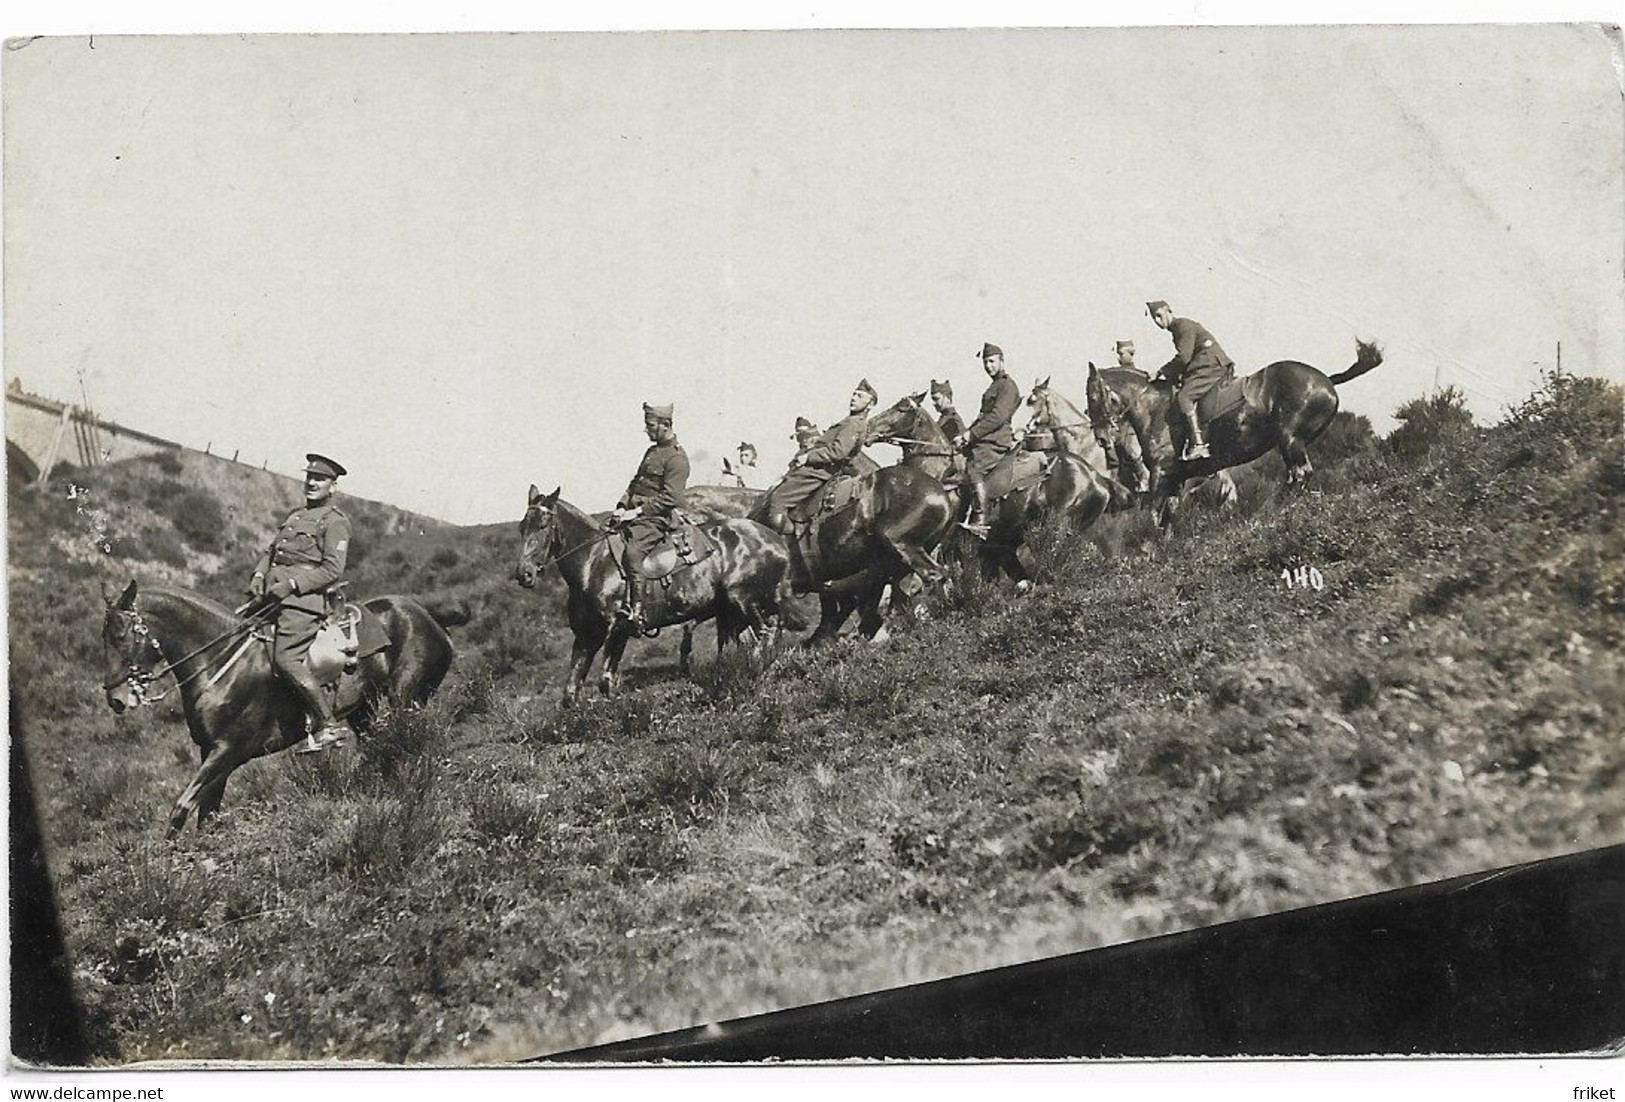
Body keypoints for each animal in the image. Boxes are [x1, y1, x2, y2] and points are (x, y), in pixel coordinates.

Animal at [98, 578, 455, 838]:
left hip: (406, 699)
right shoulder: (210, 753)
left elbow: (181, 808)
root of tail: (430, 618)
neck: (222, 663)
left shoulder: (228, 751)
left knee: (408, 744)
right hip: (363, 712)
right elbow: (207, 814)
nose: (115, 699)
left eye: (121, 635)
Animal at [507, 484, 786, 708]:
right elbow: (571, 693)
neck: (593, 563)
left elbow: (605, 683)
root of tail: (776, 541)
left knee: (764, 636)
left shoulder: (617, 630)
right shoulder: (587, 637)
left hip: (743, 601)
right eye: (522, 527)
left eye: (543, 525)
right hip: (733, 611)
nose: (524, 574)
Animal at [871, 394, 1124, 594]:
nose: (871, 428)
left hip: (1056, 528)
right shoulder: (993, 551)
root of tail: (1096, 477)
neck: (939, 473)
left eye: (901, 409)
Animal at [1092, 342, 1384, 529]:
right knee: (1294, 477)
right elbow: (1167, 519)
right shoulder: (1176, 480)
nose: (1101, 438)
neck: (1154, 408)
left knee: (1300, 474)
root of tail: (1326, 381)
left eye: (1092, 397)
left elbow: (1152, 516)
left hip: (1290, 439)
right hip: (1292, 443)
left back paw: (1270, 513)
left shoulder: (1160, 476)